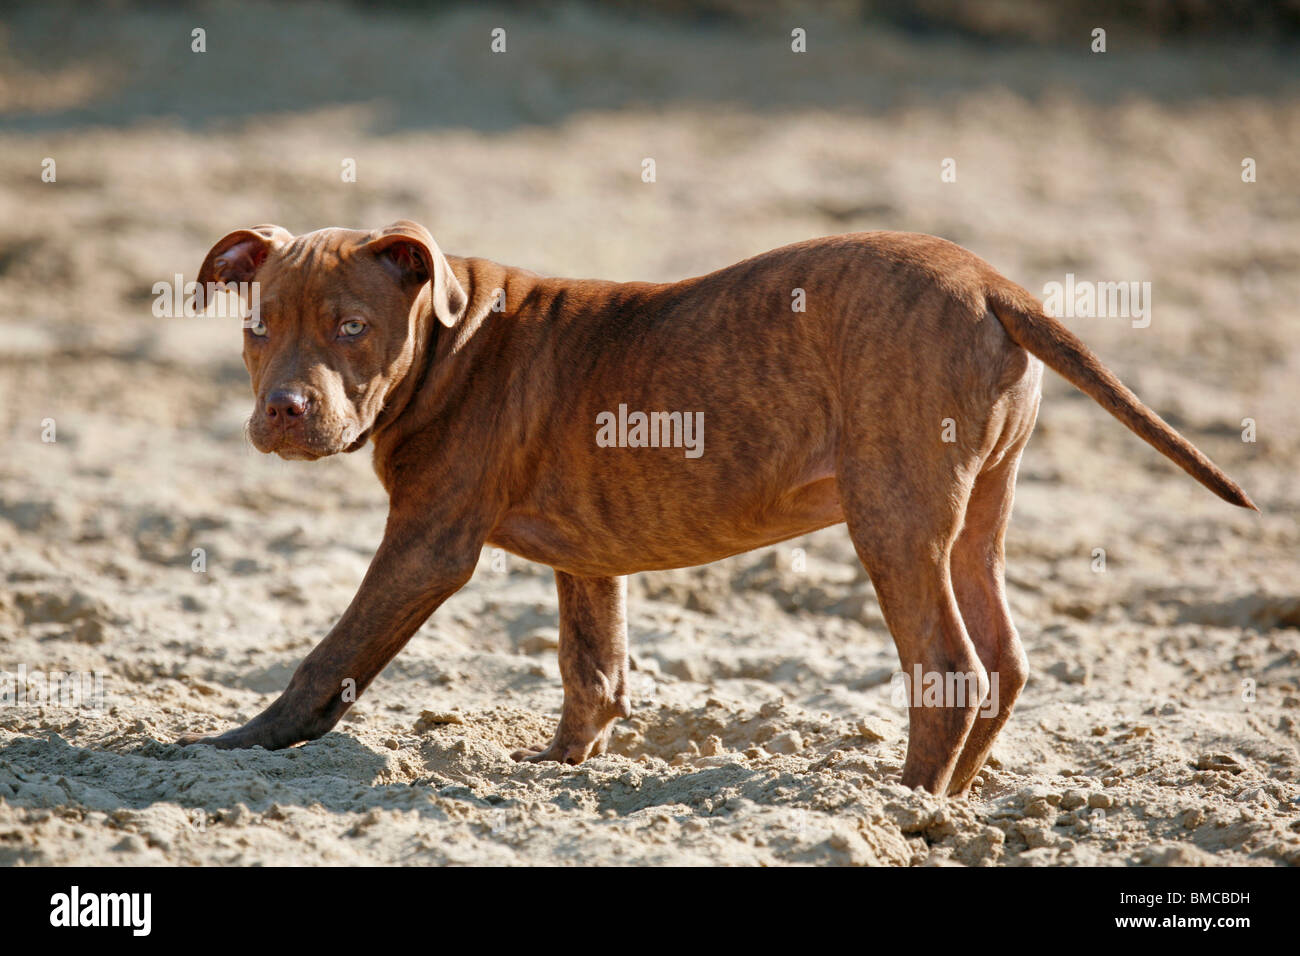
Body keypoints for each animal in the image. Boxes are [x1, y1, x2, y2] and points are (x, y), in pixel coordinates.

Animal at [178, 221, 1253, 796]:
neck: (452, 337)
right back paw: (953, 801)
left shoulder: (426, 544)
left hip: (894, 520)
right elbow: (592, 671)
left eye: (353, 329)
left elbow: (332, 655)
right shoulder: (589, 558)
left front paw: (237, 744)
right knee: (1005, 659)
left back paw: (906, 804)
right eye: (258, 327)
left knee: (951, 668)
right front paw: (557, 768)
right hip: (976, 516)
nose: (283, 409)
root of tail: (991, 281)